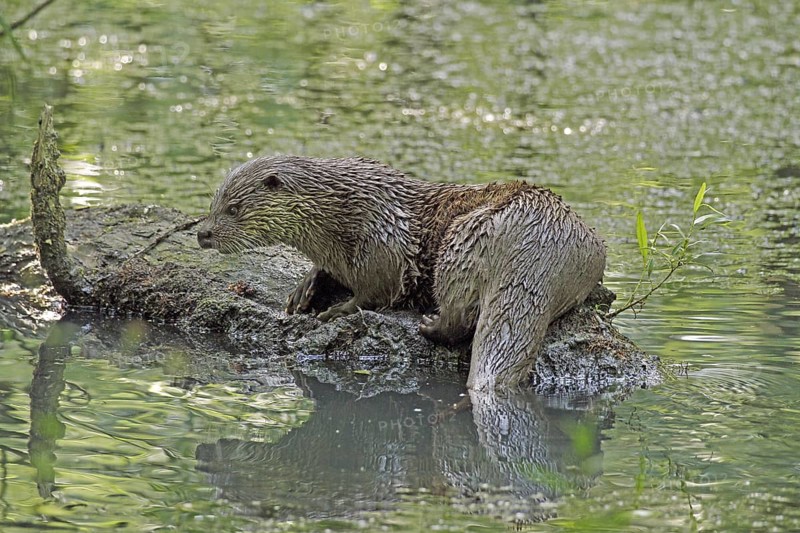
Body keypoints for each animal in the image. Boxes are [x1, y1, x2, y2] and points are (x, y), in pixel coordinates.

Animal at [197, 156, 606, 392]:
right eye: (213, 204)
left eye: (233, 209)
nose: (203, 233)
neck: (338, 216)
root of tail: (541, 236)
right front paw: (305, 289)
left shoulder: (383, 242)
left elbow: (378, 292)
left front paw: (334, 311)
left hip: (462, 242)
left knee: (460, 317)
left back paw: (430, 325)